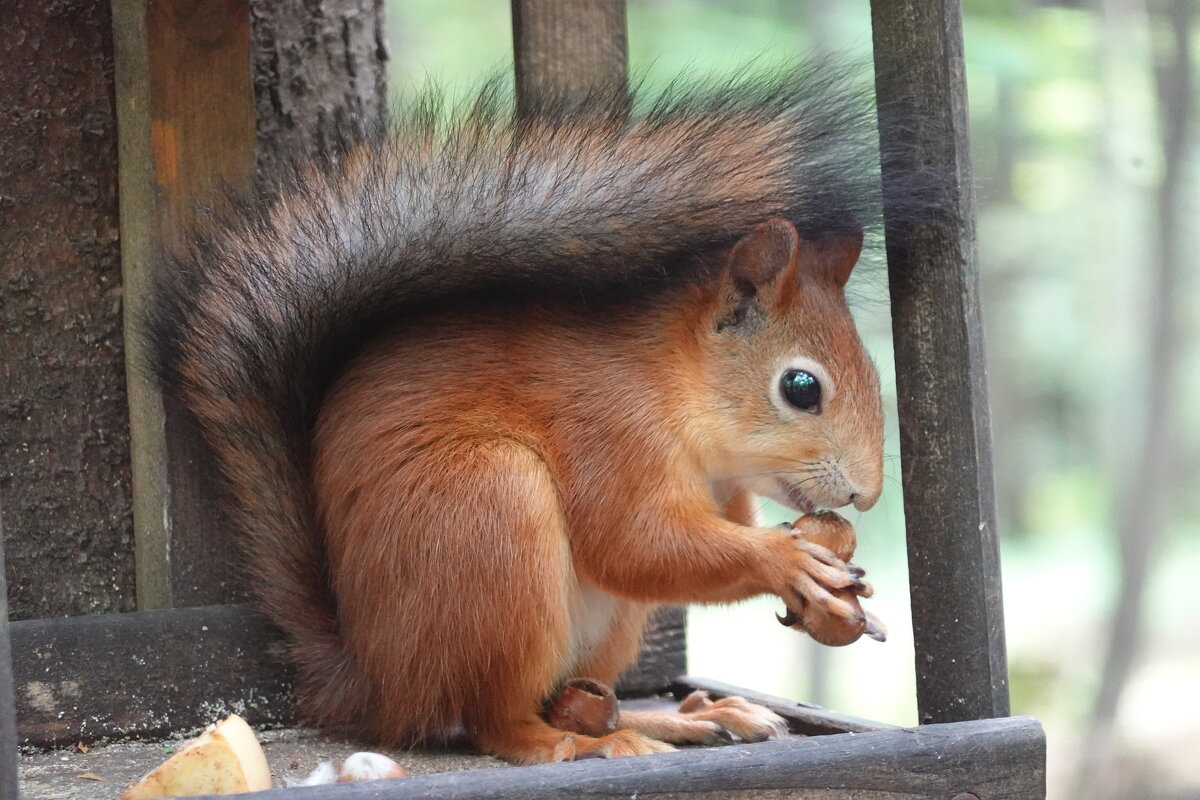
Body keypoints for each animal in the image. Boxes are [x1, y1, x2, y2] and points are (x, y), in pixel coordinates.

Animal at [145, 67, 902, 762]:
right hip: (490, 511)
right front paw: (786, 559)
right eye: (801, 387)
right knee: (497, 724)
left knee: (576, 698)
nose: (866, 495)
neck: (674, 384)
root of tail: (375, 687)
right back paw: (576, 744)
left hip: (597, 624)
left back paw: (676, 720)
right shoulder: (610, 428)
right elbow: (635, 542)